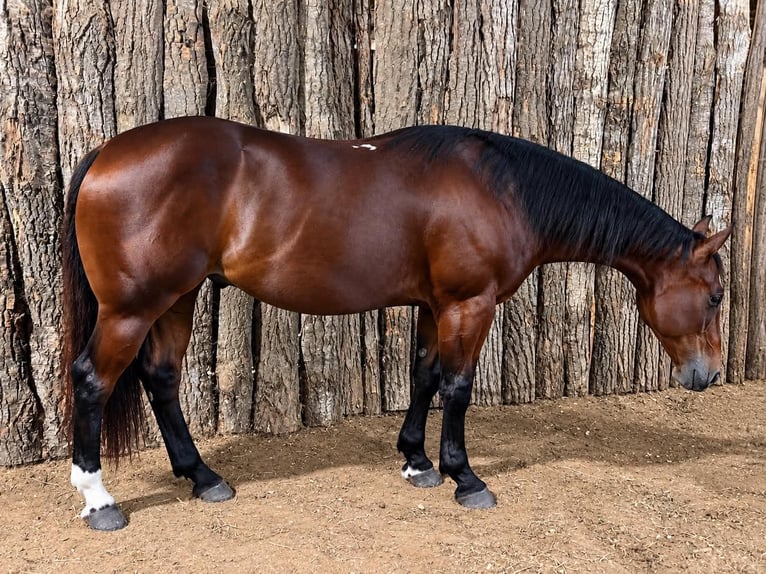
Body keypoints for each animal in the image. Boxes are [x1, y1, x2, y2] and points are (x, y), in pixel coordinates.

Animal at [61, 117, 731, 530]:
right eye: (717, 296)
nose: (711, 375)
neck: (502, 189)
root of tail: (108, 152)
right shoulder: (469, 304)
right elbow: (457, 388)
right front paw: (465, 478)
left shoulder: (436, 306)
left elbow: (424, 377)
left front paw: (417, 462)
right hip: (132, 308)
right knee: (93, 379)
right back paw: (99, 499)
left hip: (177, 297)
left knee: (161, 378)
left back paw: (202, 476)